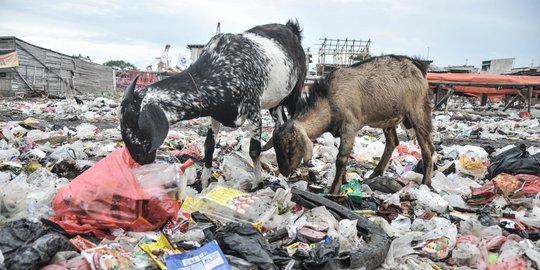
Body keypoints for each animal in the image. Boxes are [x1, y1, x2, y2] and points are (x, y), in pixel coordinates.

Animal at [118, 19, 306, 188]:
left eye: (131, 122)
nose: (138, 159)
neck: (220, 71)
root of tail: (291, 28)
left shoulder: (254, 110)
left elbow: (254, 150)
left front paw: (257, 183)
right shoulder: (215, 114)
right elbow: (209, 146)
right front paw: (203, 182)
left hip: (295, 92)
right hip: (276, 102)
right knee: (281, 124)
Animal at [274, 54, 434, 194]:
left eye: (290, 146)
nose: (284, 171)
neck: (329, 101)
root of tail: (417, 64)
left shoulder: (349, 127)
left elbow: (341, 158)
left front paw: (334, 190)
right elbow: (344, 155)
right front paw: (344, 182)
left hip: (418, 111)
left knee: (428, 149)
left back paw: (426, 183)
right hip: (389, 118)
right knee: (393, 142)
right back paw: (375, 174)